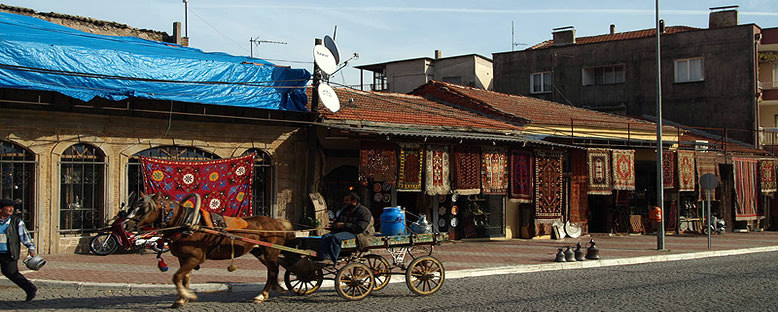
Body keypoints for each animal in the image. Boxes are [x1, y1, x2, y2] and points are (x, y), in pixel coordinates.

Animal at [133, 193, 294, 308]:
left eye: (145, 209)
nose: (129, 224)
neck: (188, 224)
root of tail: (278, 222)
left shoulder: (196, 257)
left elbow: (177, 276)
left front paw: (188, 296)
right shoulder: (183, 258)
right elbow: (184, 277)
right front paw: (182, 299)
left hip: (270, 251)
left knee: (272, 271)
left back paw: (262, 294)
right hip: (259, 252)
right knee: (273, 269)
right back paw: (276, 288)